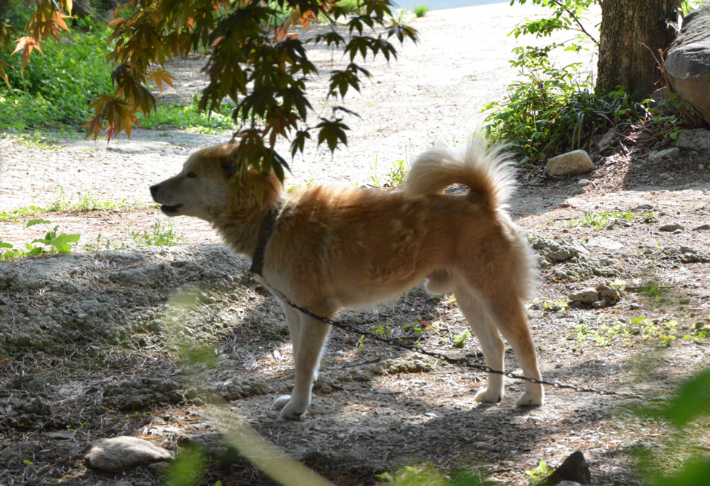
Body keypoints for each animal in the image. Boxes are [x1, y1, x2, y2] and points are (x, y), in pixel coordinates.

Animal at [152, 139, 544, 420]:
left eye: (191, 174)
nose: (153, 187)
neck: (273, 221)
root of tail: (481, 201)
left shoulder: (316, 312)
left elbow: (304, 363)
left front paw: (298, 408)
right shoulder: (294, 311)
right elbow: (299, 359)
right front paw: (295, 398)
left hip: (495, 295)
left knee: (524, 345)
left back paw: (533, 397)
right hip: (469, 298)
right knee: (495, 346)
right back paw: (492, 394)